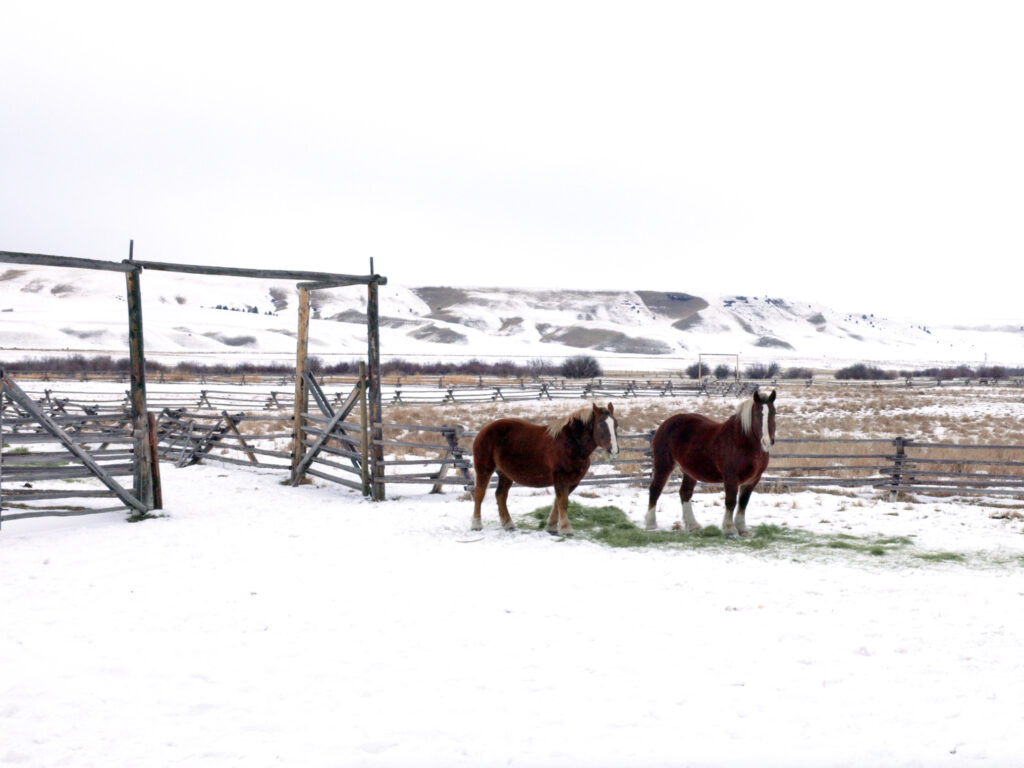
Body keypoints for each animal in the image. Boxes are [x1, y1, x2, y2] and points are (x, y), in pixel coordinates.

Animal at [471, 403, 619, 536]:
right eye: (601, 425)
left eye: (616, 424)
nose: (614, 450)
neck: (571, 444)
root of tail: (484, 429)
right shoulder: (561, 478)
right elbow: (563, 502)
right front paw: (566, 529)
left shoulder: (573, 481)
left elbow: (557, 502)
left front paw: (551, 527)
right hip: (484, 469)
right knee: (479, 493)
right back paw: (476, 525)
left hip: (505, 474)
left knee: (501, 495)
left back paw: (509, 525)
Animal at [645, 389, 776, 537]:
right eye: (757, 414)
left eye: (773, 413)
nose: (767, 441)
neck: (742, 441)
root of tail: (665, 424)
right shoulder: (731, 478)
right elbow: (731, 501)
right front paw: (729, 529)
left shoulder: (753, 479)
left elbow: (743, 503)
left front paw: (743, 529)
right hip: (664, 465)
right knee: (655, 489)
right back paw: (651, 524)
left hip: (690, 471)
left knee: (685, 492)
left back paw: (693, 525)